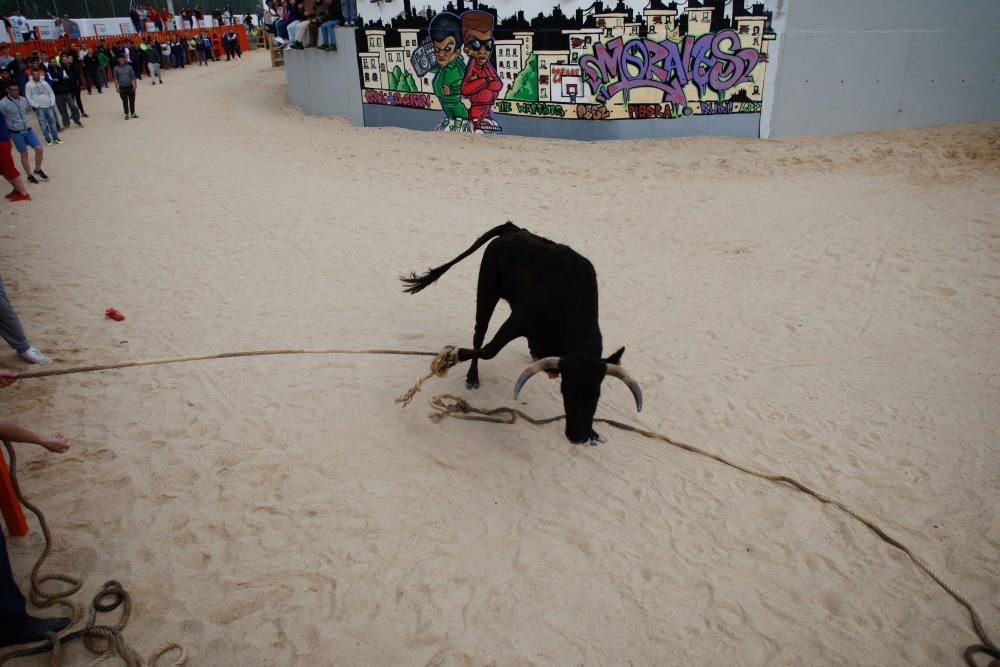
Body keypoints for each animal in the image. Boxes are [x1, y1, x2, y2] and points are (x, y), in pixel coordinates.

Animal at [398, 222, 640, 446]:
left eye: (597, 395)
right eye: (567, 391)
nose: (578, 437)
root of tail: (514, 229)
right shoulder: (519, 320)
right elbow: (489, 350)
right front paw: (454, 356)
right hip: (487, 291)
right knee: (479, 335)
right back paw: (472, 377)